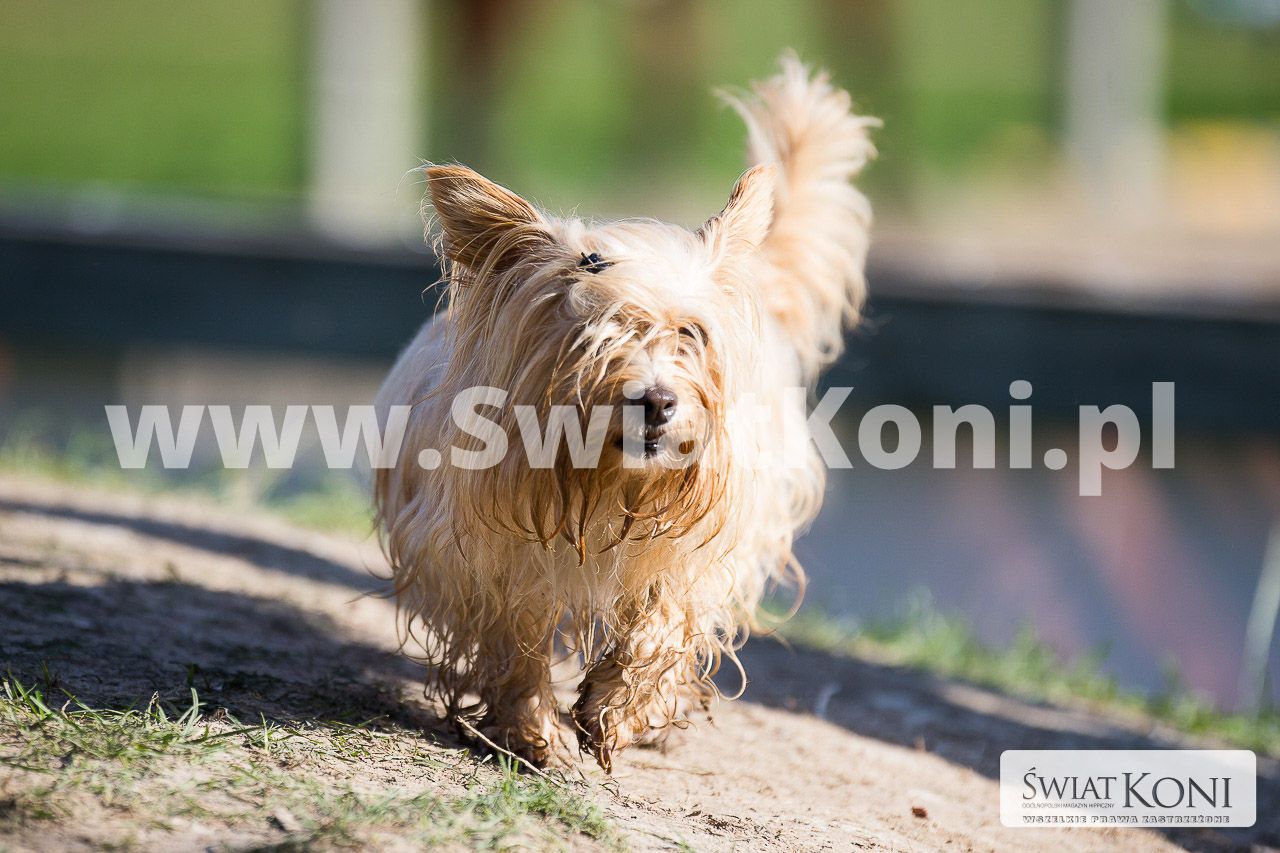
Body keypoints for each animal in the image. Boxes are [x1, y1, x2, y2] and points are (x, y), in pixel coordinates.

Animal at [374, 54, 876, 770]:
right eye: (591, 335)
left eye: (690, 333)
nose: (658, 400)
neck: (605, 487)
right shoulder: (481, 553)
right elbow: (514, 634)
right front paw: (534, 729)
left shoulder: (702, 549)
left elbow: (662, 621)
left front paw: (615, 711)